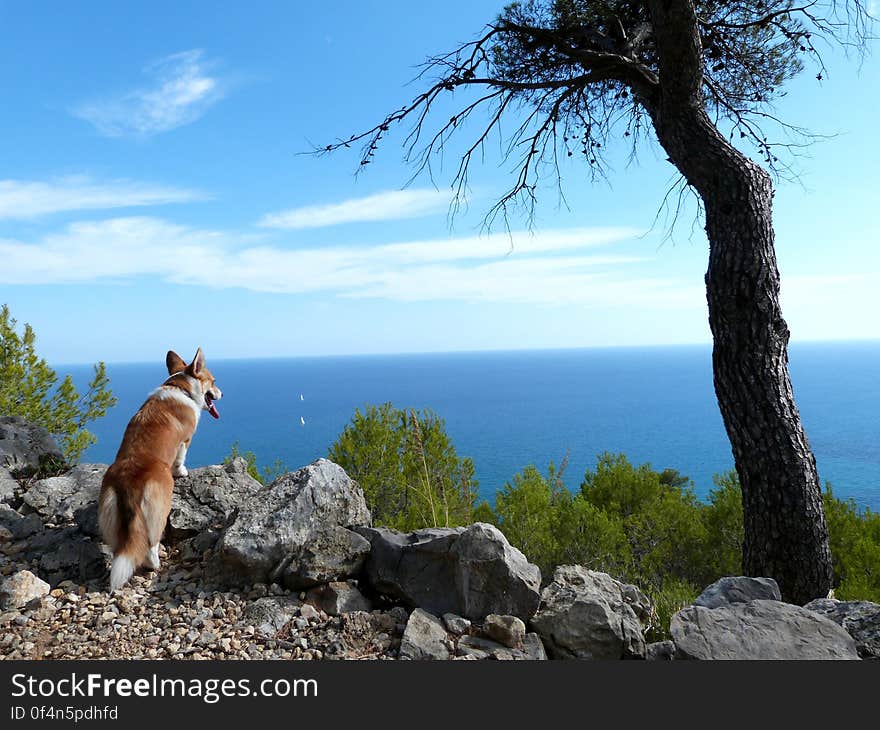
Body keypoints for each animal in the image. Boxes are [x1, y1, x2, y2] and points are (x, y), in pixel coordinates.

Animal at [97, 346, 222, 592]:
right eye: (213, 381)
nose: (221, 393)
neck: (181, 387)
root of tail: (130, 481)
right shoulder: (185, 441)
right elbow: (181, 458)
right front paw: (182, 472)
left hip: (111, 515)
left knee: (121, 547)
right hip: (158, 510)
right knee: (150, 543)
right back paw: (155, 563)